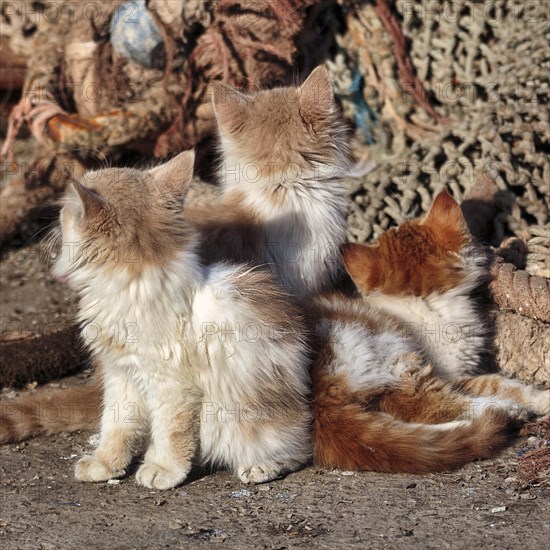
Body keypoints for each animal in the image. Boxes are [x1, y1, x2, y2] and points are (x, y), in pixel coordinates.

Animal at [45, 149, 312, 490]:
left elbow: (170, 433)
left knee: (296, 449)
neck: (132, 286)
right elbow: (116, 425)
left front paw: (163, 469)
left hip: (248, 418)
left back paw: (261, 466)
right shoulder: (121, 375)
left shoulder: (171, 385)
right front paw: (106, 464)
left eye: (66, 211)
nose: (57, 215)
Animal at [312, 193, 548, 474]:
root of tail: (318, 404)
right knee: (425, 404)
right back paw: (503, 410)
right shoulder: (451, 373)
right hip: (392, 352)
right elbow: (498, 383)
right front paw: (533, 399)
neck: (424, 299)